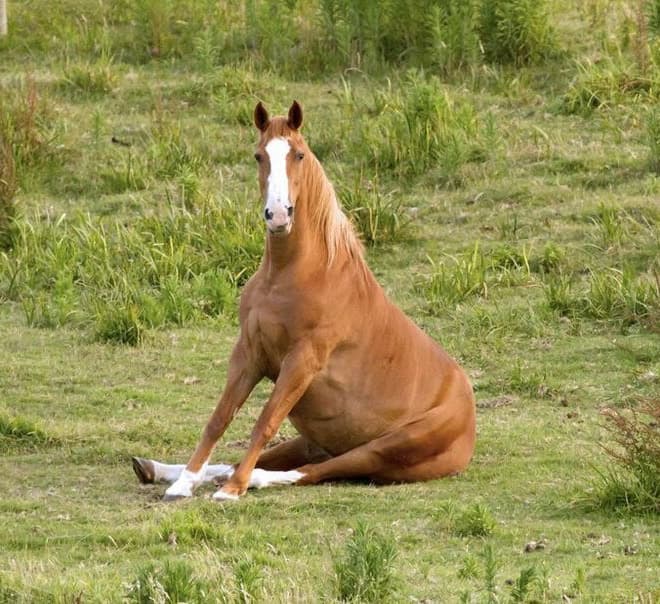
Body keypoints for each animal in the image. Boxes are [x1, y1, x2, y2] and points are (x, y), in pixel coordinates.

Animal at [131, 101, 476, 502]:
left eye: (299, 155)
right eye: (259, 156)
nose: (278, 215)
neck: (291, 275)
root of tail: (468, 422)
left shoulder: (302, 361)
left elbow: (264, 422)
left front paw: (232, 490)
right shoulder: (249, 352)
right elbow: (219, 418)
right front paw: (184, 482)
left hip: (382, 449)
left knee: (318, 471)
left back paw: (248, 480)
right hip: (314, 440)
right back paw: (157, 469)